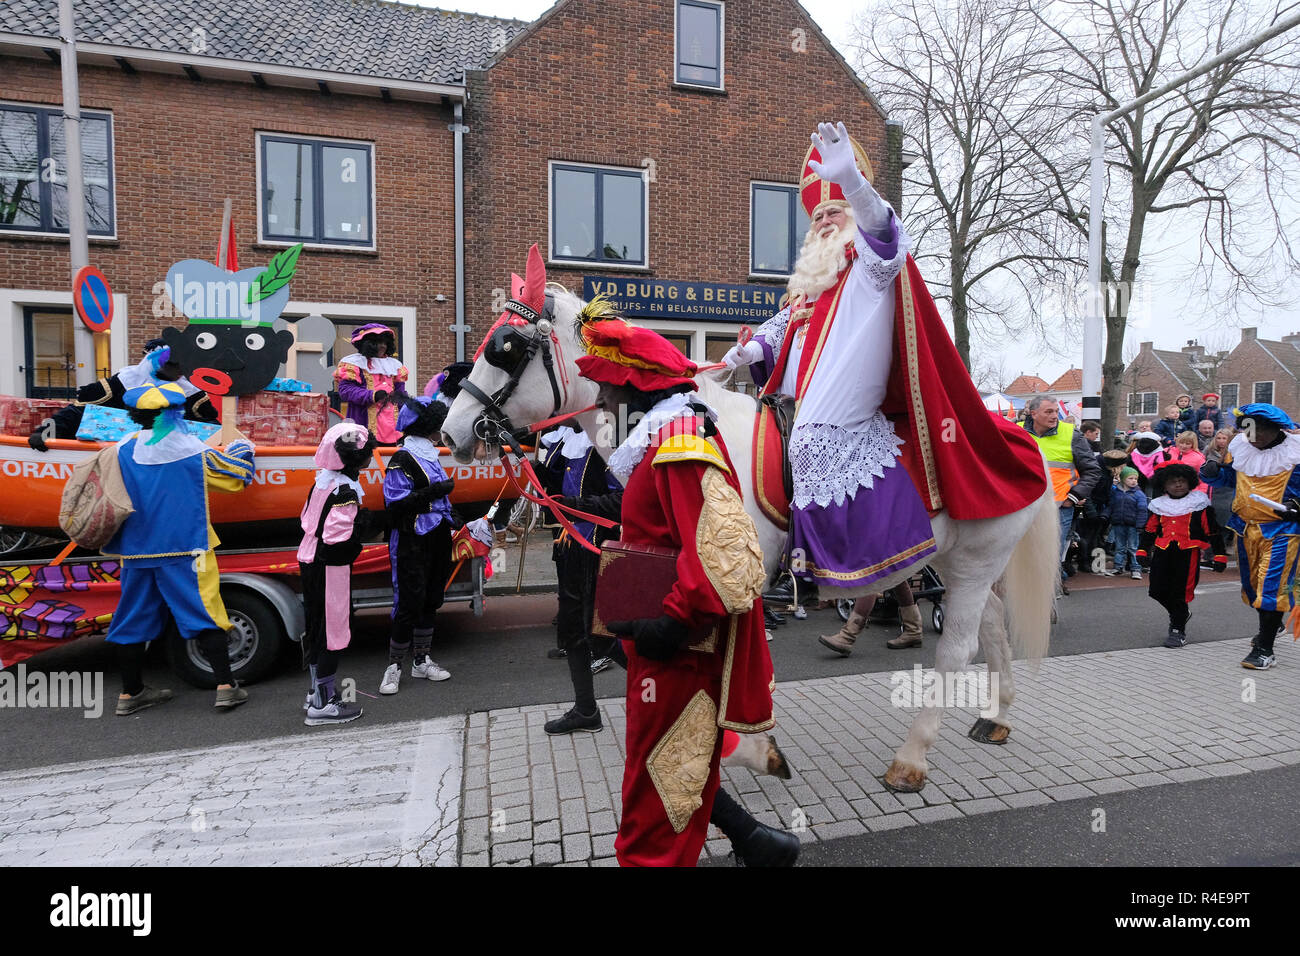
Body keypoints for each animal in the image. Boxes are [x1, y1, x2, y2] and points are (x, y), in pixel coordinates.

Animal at [441, 280, 1060, 790]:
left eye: (506, 349)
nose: (451, 432)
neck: (678, 419)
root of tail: (1018, 439)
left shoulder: (734, 574)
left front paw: (745, 746)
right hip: (962, 566)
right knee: (994, 628)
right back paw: (996, 717)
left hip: (975, 563)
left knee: (957, 648)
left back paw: (911, 759)